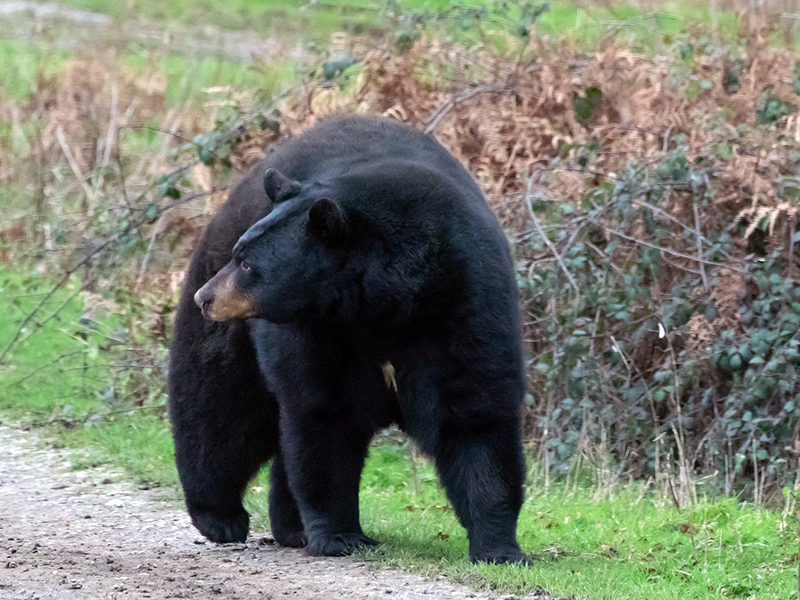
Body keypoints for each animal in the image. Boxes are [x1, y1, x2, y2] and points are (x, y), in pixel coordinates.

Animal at [168, 115, 528, 564]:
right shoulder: (318, 329)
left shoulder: (465, 305)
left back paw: (290, 527)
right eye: (240, 253)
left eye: (248, 263)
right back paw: (220, 516)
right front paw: (340, 536)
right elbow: (325, 415)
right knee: (218, 401)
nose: (206, 297)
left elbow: (475, 414)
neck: (386, 304)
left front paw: (501, 548)